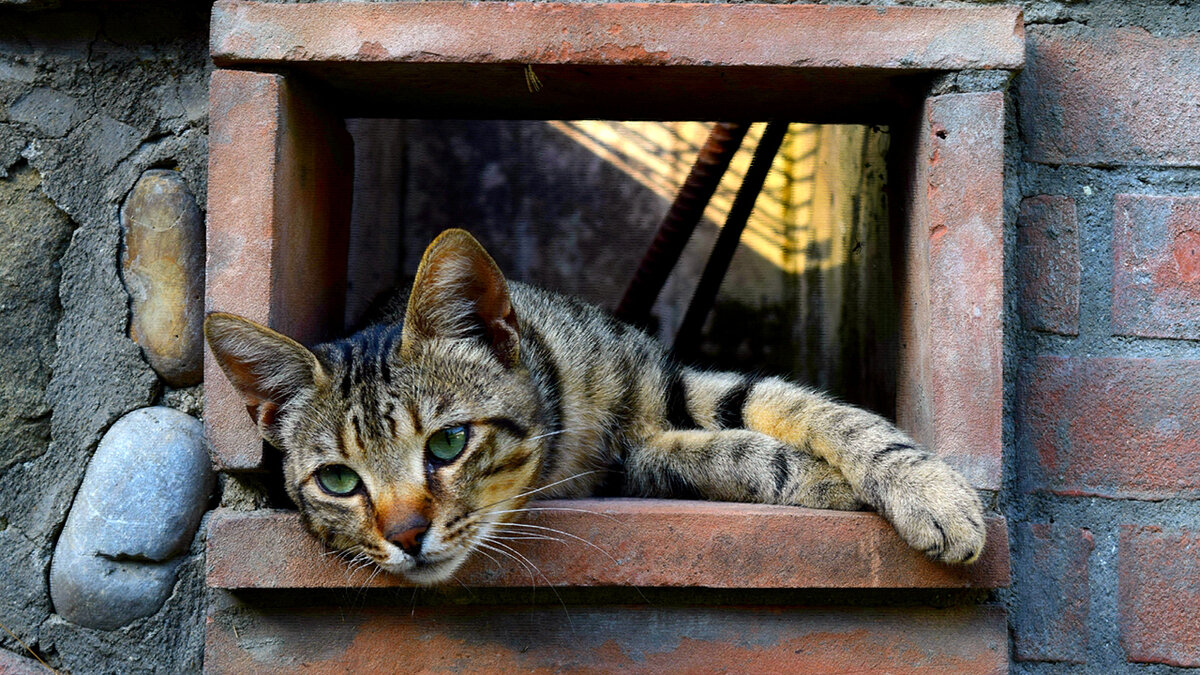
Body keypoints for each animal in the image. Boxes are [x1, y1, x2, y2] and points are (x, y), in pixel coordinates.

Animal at [204, 227, 984, 583]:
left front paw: (931, 492)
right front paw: (821, 479)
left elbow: (815, 409)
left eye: (448, 443)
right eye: (338, 480)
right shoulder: (629, 463)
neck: (570, 417)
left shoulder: (670, 382)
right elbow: (737, 453)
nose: (405, 535)